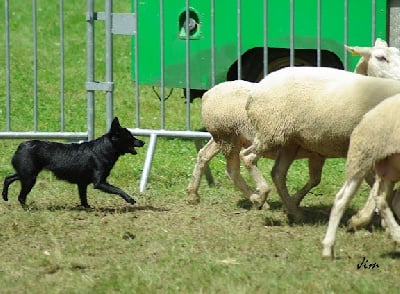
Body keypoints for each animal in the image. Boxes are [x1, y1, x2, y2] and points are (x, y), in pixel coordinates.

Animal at [1, 116, 145, 208]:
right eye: (130, 137)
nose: (143, 142)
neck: (104, 149)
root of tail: (22, 145)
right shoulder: (99, 183)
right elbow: (118, 189)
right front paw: (130, 199)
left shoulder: (82, 184)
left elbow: (83, 197)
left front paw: (88, 208)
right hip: (30, 178)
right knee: (21, 196)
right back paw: (27, 208)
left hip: (26, 173)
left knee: (8, 178)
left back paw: (5, 196)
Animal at [242, 65, 400, 222]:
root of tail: (257, 88)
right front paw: (363, 218)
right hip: (272, 132)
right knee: (247, 157)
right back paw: (261, 196)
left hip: (290, 141)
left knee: (278, 173)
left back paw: (294, 211)